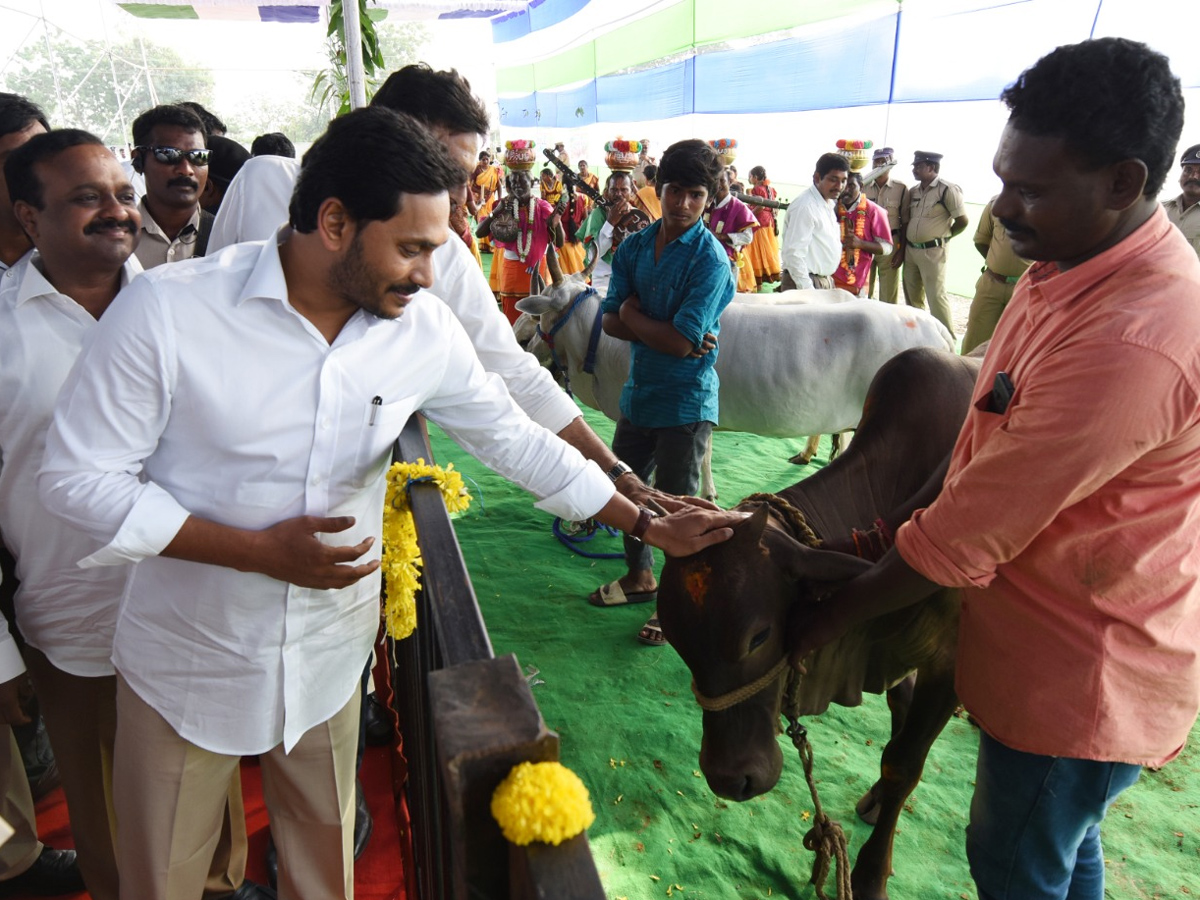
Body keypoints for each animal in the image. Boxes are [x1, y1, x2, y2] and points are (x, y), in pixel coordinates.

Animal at [657, 348, 984, 900]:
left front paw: (872, 872)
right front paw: (877, 800)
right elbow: (898, 718)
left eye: (759, 637)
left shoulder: (949, 665)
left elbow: (903, 761)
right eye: (679, 644)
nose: (729, 780)